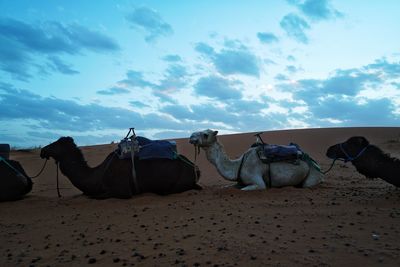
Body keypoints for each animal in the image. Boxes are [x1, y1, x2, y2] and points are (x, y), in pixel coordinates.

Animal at [40, 138, 202, 199]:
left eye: (56, 143)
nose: (42, 150)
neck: (98, 175)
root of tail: (196, 169)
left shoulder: (122, 191)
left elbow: (95, 196)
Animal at [189, 130, 324, 191]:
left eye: (205, 134)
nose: (191, 137)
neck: (238, 164)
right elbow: (227, 187)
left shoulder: (258, 183)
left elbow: (246, 189)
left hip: (313, 175)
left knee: (307, 184)